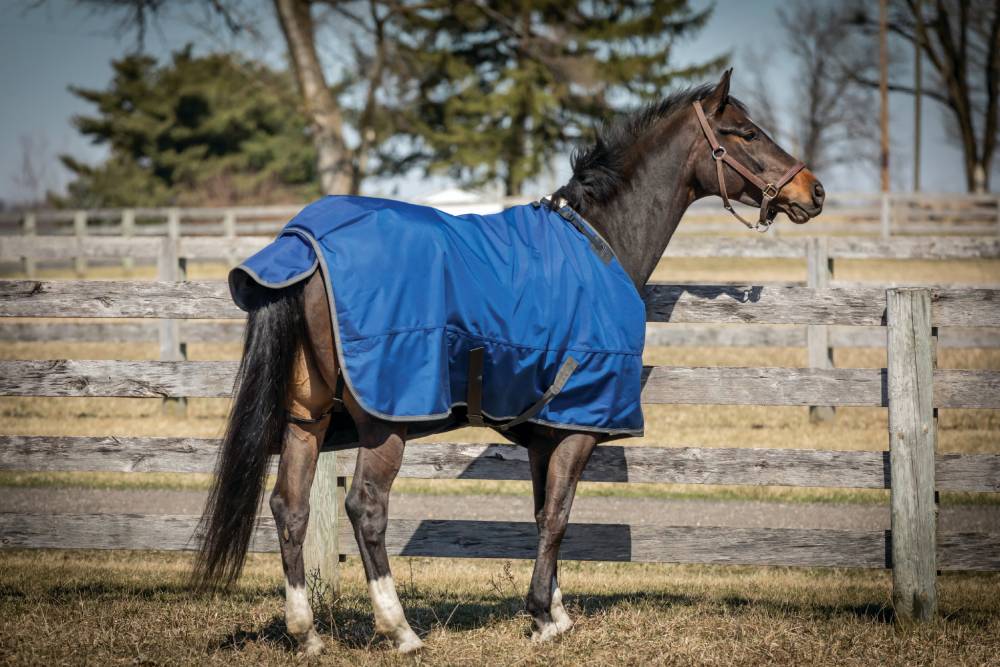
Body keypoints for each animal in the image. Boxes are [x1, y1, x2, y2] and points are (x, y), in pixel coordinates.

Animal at [192, 69, 825, 655]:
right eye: (747, 132)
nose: (813, 191)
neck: (600, 244)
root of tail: (302, 242)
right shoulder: (576, 427)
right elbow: (560, 516)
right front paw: (543, 616)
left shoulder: (548, 431)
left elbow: (545, 514)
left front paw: (556, 612)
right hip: (383, 423)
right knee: (365, 507)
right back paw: (401, 631)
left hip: (307, 418)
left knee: (289, 508)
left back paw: (307, 634)